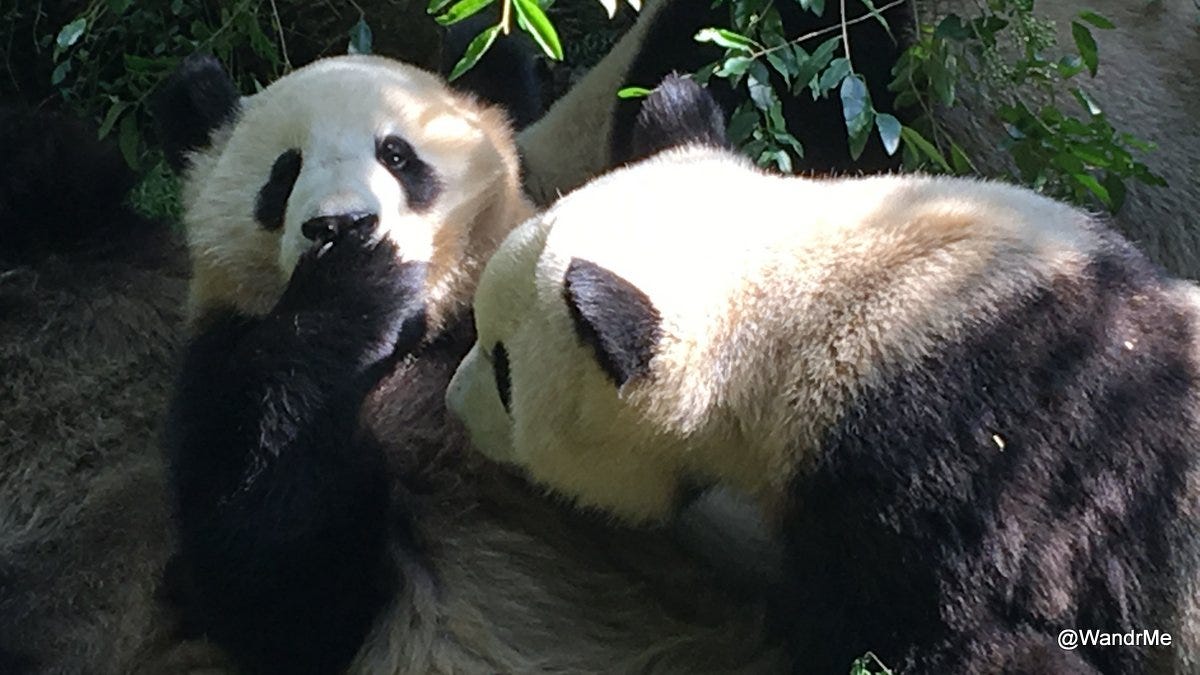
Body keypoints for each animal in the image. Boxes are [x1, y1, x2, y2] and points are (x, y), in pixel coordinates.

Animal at [156, 54, 781, 674]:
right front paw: (354, 283)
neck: (416, 341)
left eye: (397, 155)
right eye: (284, 173)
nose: (341, 224)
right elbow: (282, 598)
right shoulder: (220, 367)